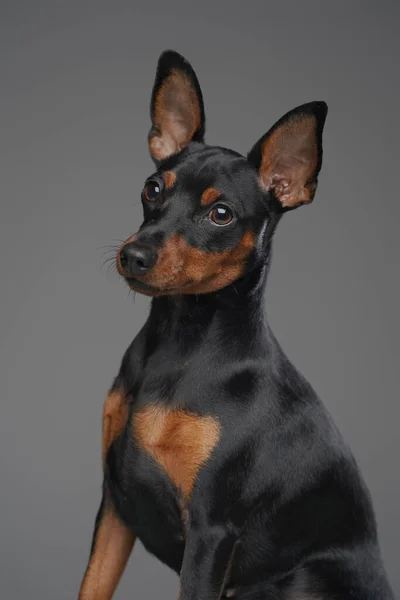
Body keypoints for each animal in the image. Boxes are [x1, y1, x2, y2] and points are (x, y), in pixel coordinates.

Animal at [78, 51, 394, 600]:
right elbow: (91, 586)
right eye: (152, 189)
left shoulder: (211, 531)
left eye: (221, 214)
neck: (178, 346)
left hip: (299, 581)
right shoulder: (115, 505)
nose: (134, 256)